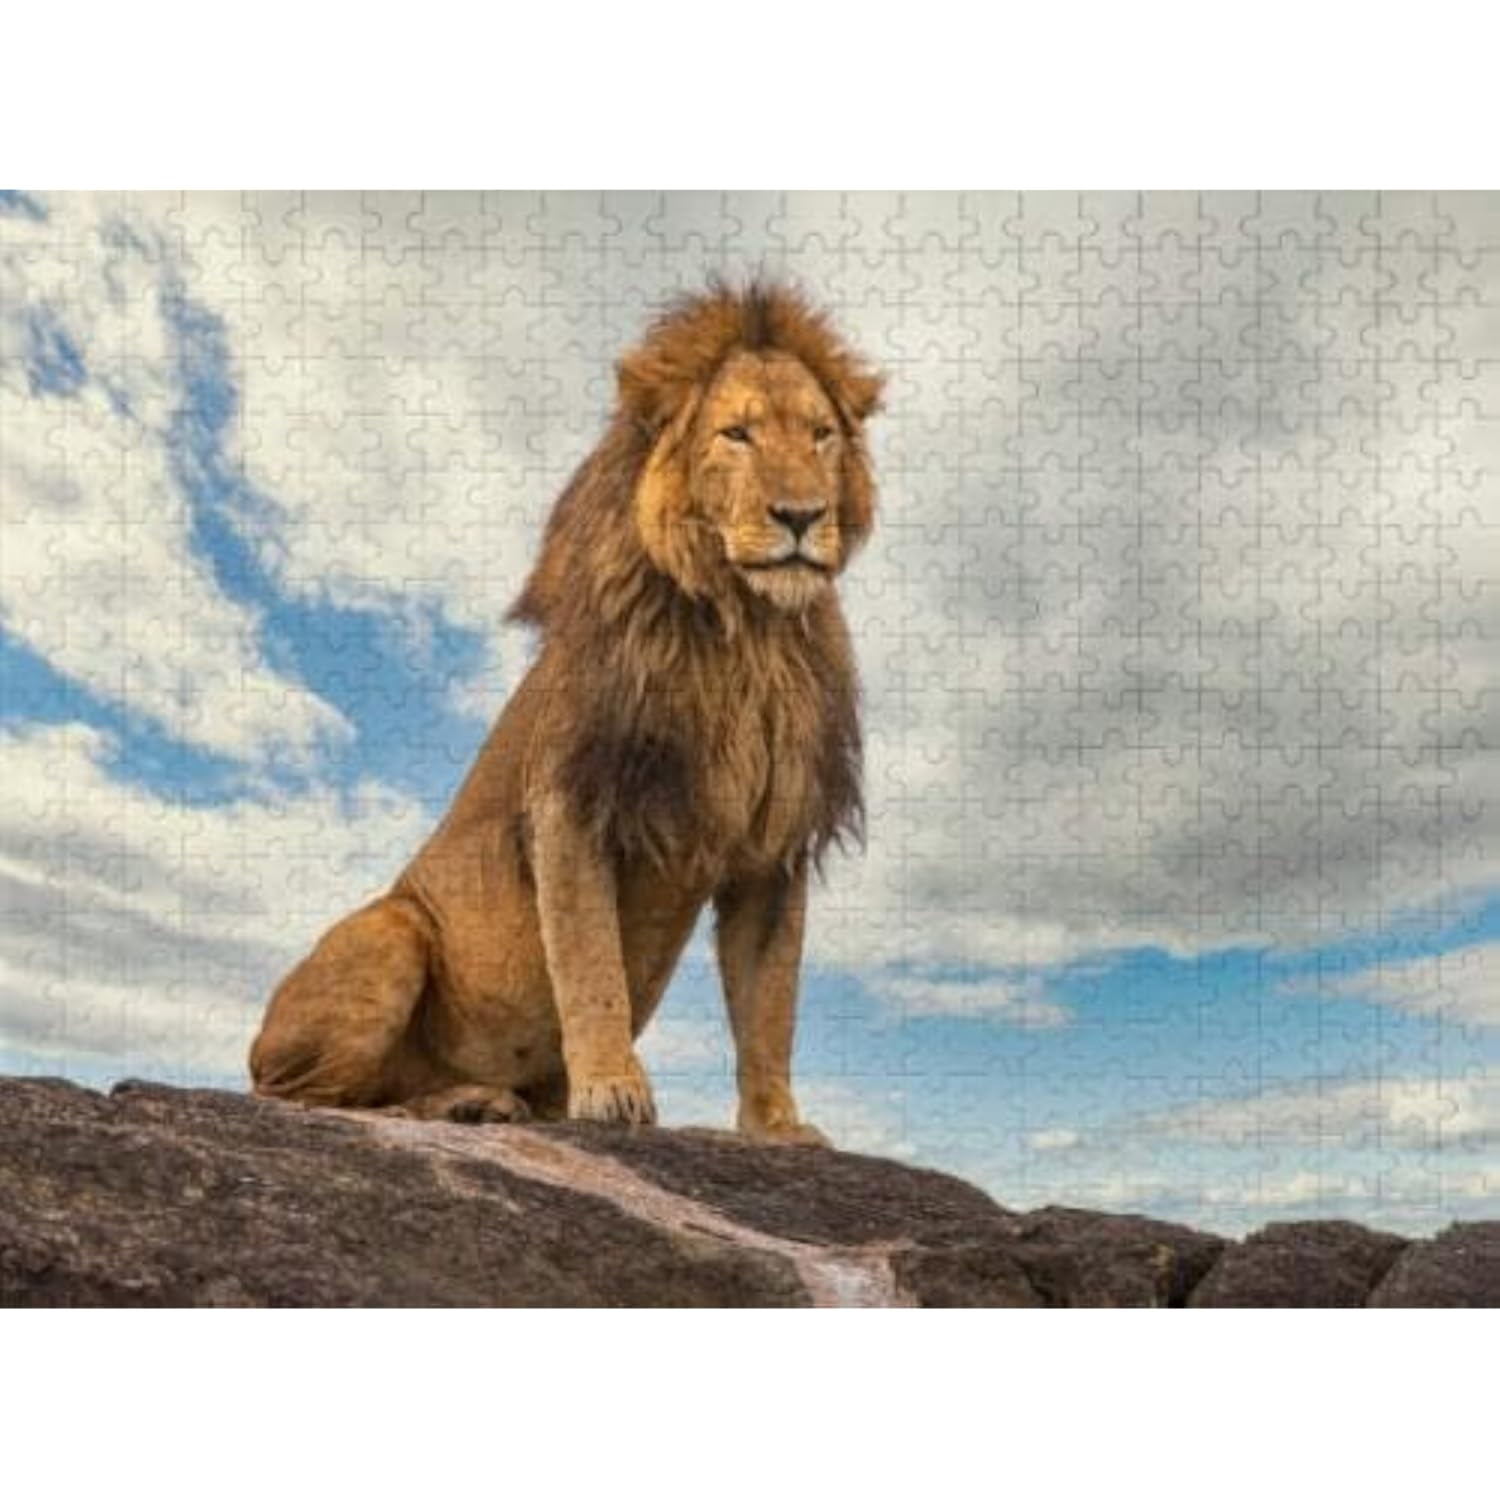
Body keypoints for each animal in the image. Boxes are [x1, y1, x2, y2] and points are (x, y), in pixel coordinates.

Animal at [248, 279, 885, 1144]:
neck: (744, 634)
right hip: (390, 934)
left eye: (820, 435)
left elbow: (770, 1002)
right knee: (303, 1099)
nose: (801, 516)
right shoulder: (573, 805)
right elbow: (590, 965)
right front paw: (613, 1091)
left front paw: (778, 1126)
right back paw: (458, 1102)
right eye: (737, 434)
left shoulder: (772, 848)